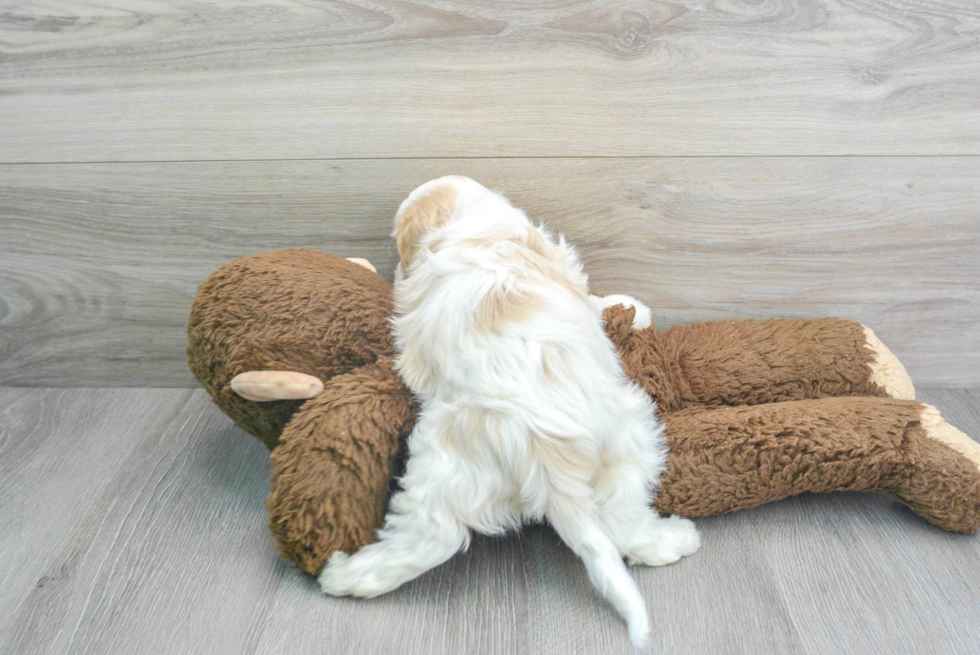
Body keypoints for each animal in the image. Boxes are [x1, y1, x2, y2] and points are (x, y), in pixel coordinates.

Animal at [320, 177, 696, 648]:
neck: (468, 220)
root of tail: (545, 456)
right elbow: (597, 302)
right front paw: (637, 310)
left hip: (451, 464)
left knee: (431, 537)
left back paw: (343, 577)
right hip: (634, 427)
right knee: (621, 516)